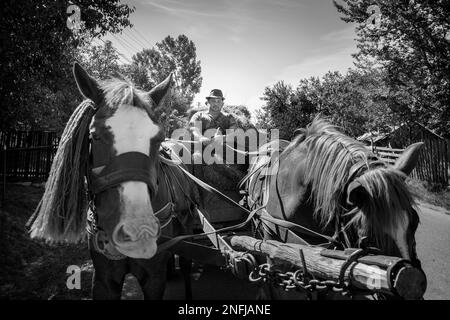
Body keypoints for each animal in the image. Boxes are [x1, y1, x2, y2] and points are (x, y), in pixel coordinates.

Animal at [25, 63, 199, 300]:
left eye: (158, 139)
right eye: (95, 136)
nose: (138, 231)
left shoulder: (154, 278)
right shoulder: (104, 279)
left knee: (188, 264)